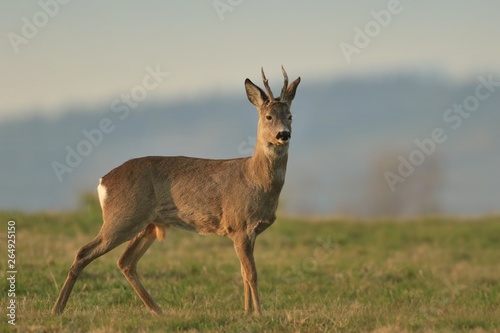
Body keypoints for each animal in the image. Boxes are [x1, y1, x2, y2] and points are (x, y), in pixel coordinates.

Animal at [51, 66, 300, 316]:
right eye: (268, 117)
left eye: (290, 116)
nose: (283, 134)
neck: (255, 180)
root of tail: (103, 182)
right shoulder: (238, 224)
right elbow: (251, 273)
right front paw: (258, 313)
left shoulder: (249, 230)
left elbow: (243, 271)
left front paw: (247, 312)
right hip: (122, 217)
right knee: (84, 252)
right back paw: (57, 309)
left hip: (146, 224)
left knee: (125, 261)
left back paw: (158, 311)